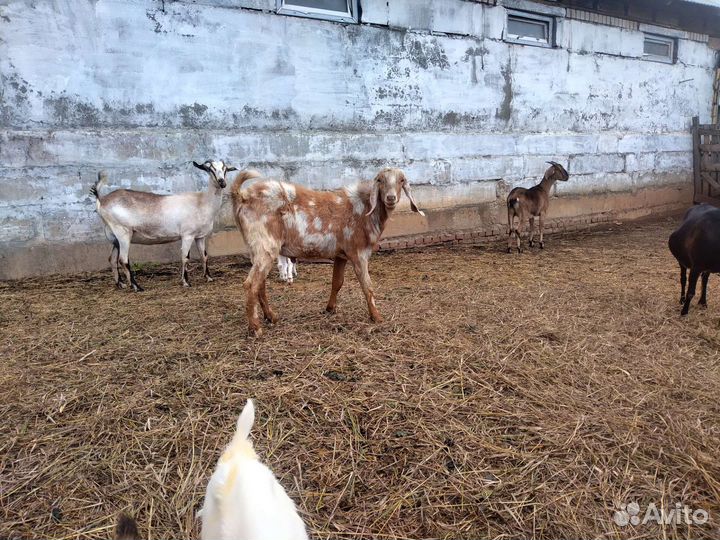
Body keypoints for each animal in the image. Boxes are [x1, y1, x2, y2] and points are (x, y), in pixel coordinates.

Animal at [90, 160, 236, 290]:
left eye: (225, 169)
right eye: (210, 169)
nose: (222, 182)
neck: (202, 202)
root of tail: (102, 201)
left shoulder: (200, 236)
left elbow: (204, 255)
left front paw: (209, 277)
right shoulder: (187, 235)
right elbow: (185, 257)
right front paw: (186, 282)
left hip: (115, 237)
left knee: (112, 259)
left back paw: (120, 284)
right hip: (123, 233)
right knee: (123, 260)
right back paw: (136, 286)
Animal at [231, 167, 424, 336]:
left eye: (401, 180)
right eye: (380, 180)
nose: (391, 198)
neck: (365, 209)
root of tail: (242, 196)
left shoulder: (340, 255)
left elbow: (337, 282)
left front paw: (330, 308)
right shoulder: (358, 252)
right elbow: (367, 286)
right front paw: (376, 317)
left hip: (256, 249)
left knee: (260, 284)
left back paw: (271, 317)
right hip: (265, 245)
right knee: (251, 284)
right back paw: (255, 328)